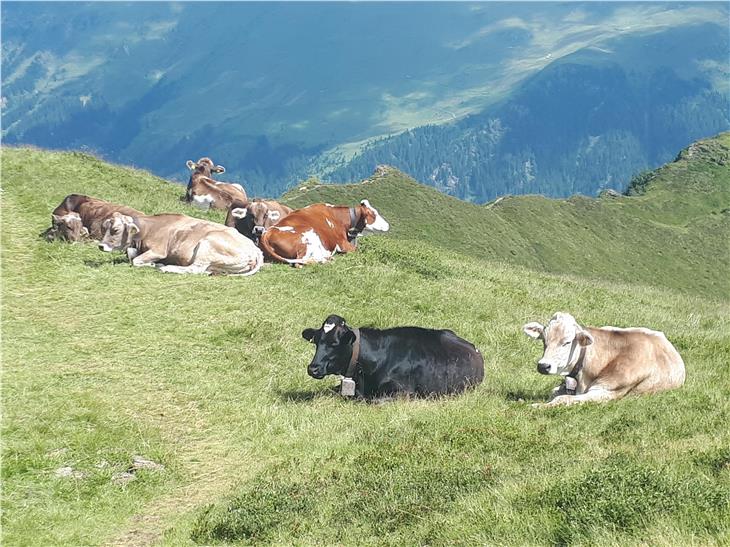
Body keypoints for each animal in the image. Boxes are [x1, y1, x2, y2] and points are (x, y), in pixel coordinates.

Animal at [99, 212, 262, 276]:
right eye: (104, 227)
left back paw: (166, 267)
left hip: (207, 245)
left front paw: (152, 264)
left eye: (115, 230)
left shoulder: (159, 250)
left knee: (195, 269)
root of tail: (256, 250)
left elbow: (135, 260)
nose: (101, 246)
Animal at [258, 200, 390, 266]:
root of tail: (267, 232)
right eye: (374, 214)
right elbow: (357, 250)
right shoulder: (343, 244)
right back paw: (326, 260)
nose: (388, 225)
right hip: (309, 235)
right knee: (301, 261)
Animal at [520, 312, 684, 406]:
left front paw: (538, 405)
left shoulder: (607, 392)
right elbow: (554, 392)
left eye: (567, 342)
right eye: (544, 340)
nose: (543, 366)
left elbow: (563, 398)